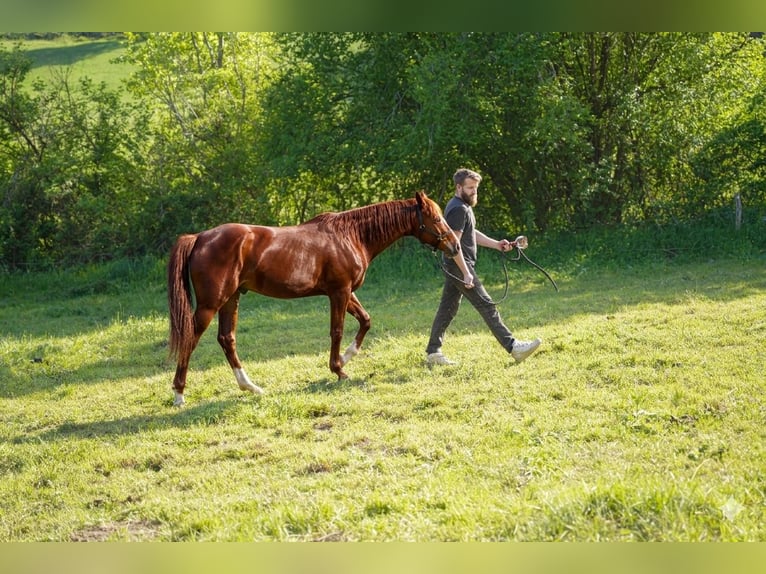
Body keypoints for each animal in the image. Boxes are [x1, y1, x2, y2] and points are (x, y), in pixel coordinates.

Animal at [167, 191, 461, 406]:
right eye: (436, 219)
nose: (455, 246)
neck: (350, 235)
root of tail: (200, 237)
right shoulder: (339, 292)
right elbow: (337, 330)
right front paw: (339, 369)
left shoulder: (346, 292)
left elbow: (365, 321)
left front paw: (345, 358)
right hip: (211, 304)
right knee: (191, 338)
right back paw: (179, 394)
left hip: (231, 299)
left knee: (227, 339)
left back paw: (249, 386)